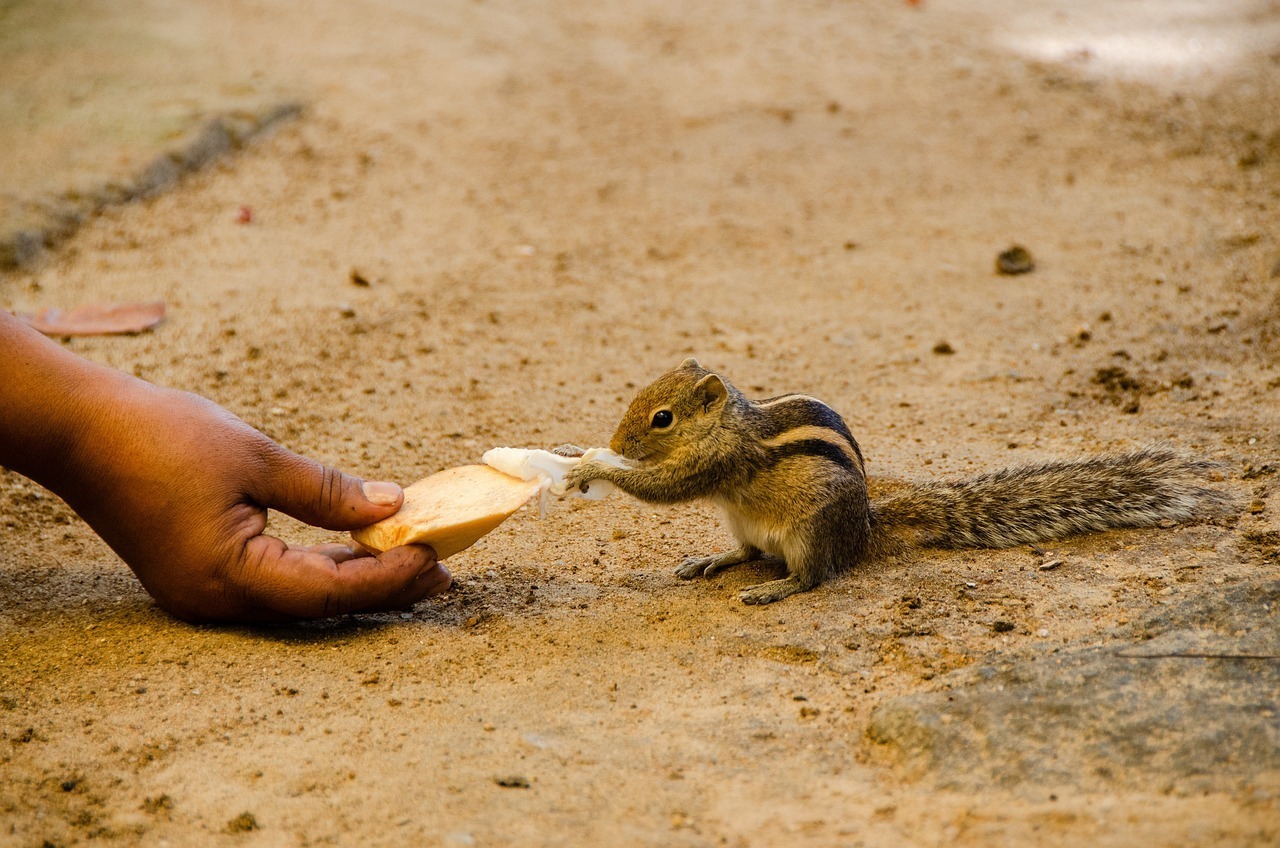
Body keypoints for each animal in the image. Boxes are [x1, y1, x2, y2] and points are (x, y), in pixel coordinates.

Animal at [561, 357, 1233, 605]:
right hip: (743, 521)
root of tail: (866, 528)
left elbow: (664, 486)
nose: (620, 441)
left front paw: (591, 464)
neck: (730, 422)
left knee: (814, 576)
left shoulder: (719, 461)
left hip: (810, 532)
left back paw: (773, 589)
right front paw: (575, 451)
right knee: (748, 552)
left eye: (661, 418)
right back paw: (713, 560)